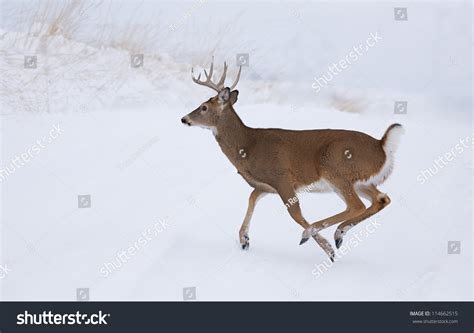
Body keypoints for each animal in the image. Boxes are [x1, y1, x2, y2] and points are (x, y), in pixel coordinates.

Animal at [181, 60, 404, 262]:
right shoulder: (265, 185)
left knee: (356, 205)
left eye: (203, 107)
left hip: (336, 170)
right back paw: (339, 234)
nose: (184, 119)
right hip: (362, 181)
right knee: (381, 199)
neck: (247, 146)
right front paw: (244, 239)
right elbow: (252, 198)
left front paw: (326, 249)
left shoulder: (282, 178)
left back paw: (326, 235)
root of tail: (382, 146)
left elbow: (295, 214)